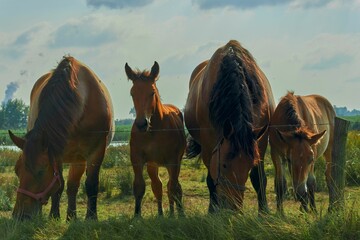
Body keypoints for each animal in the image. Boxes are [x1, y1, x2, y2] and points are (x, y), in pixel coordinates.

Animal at [7, 55, 114, 219]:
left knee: (74, 185)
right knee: (71, 185)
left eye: (40, 171)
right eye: (16, 170)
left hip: (79, 159)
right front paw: (54, 215)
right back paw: (70, 216)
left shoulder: (97, 151)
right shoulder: (56, 153)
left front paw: (91, 217)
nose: (20, 216)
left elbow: (91, 184)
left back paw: (72, 216)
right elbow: (59, 185)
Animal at [124, 61, 186, 217]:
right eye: (132, 93)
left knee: (173, 187)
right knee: (158, 185)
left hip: (175, 162)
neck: (153, 131)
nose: (141, 124)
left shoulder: (173, 161)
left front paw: (180, 215)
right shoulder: (138, 159)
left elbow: (174, 188)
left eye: (152, 92)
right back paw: (162, 213)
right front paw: (137, 216)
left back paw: (175, 213)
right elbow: (140, 186)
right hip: (153, 165)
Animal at [184, 40, 274, 213]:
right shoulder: (209, 145)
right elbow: (211, 179)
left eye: (248, 165)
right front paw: (213, 210)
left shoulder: (261, 140)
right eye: (224, 165)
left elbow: (259, 178)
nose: (232, 207)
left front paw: (264, 211)